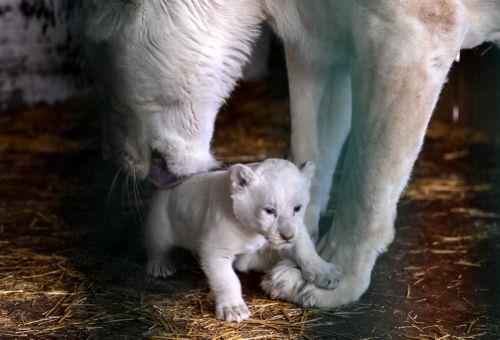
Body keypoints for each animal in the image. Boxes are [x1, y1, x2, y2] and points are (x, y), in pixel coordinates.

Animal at [83, 0, 500, 308]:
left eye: (104, 93)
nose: (108, 156)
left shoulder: (416, 30)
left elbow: (367, 183)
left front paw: (335, 278)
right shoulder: (319, 47)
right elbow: (310, 149)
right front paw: (286, 252)